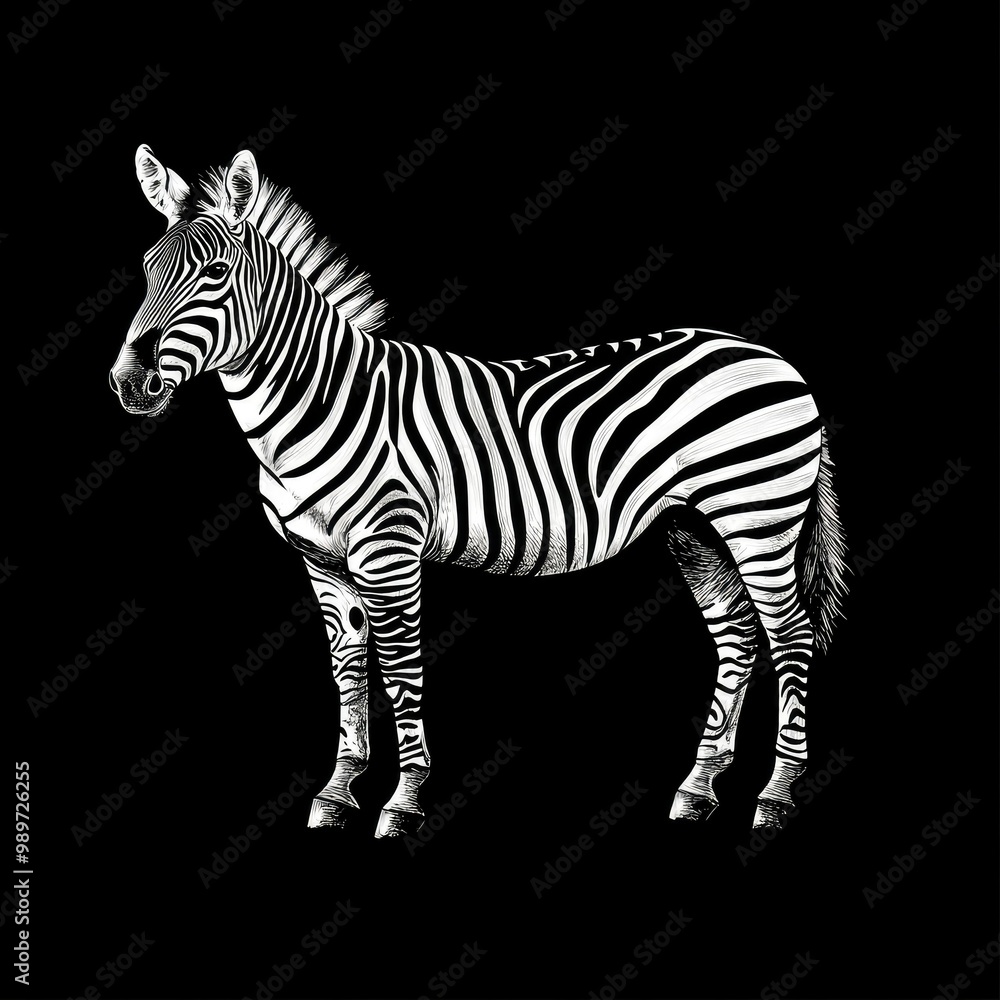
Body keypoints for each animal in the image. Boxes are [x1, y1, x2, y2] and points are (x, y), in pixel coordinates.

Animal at [110, 145, 848, 838]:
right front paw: (337, 793)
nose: (127, 383)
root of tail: (768, 354)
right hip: (693, 526)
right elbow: (348, 672)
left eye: (214, 274)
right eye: (146, 269)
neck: (318, 404)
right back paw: (698, 789)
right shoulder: (322, 563)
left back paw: (775, 796)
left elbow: (400, 671)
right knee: (737, 634)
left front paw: (402, 803)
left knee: (790, 635)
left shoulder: (388, 550)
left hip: (758, 517)